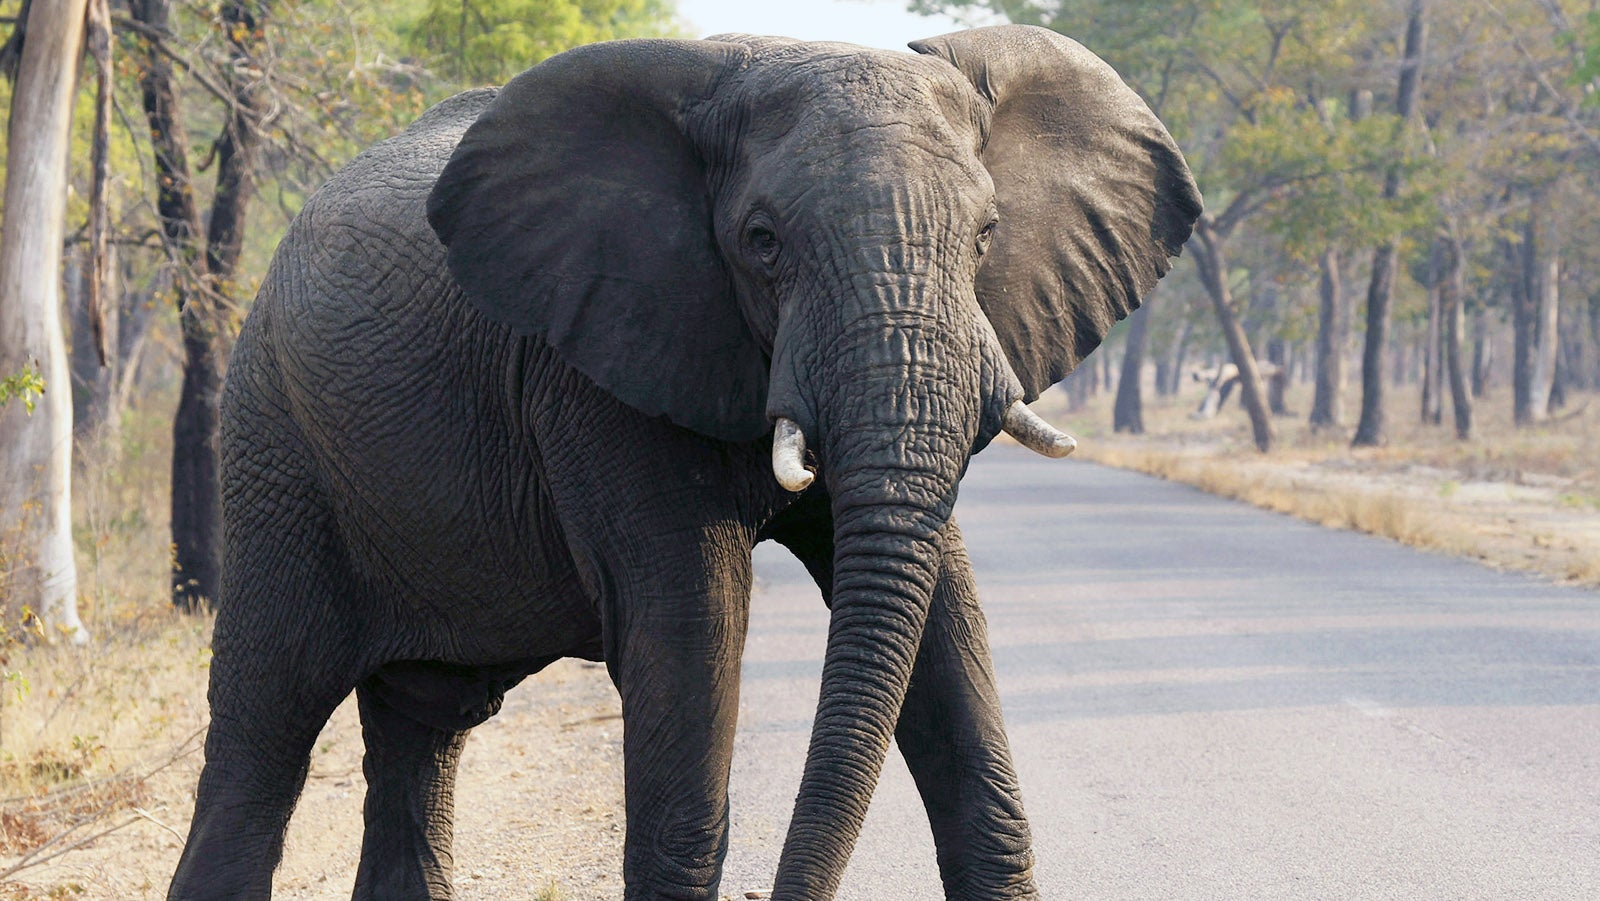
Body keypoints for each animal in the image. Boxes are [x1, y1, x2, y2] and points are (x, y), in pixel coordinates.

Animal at [167, 24, 1200, 901]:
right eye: (762, 242)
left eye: (986, 236)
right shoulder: (597, 367)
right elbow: (691, 624)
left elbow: (943, 613)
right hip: (276, 448)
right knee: (264, 732)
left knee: (420, 734)